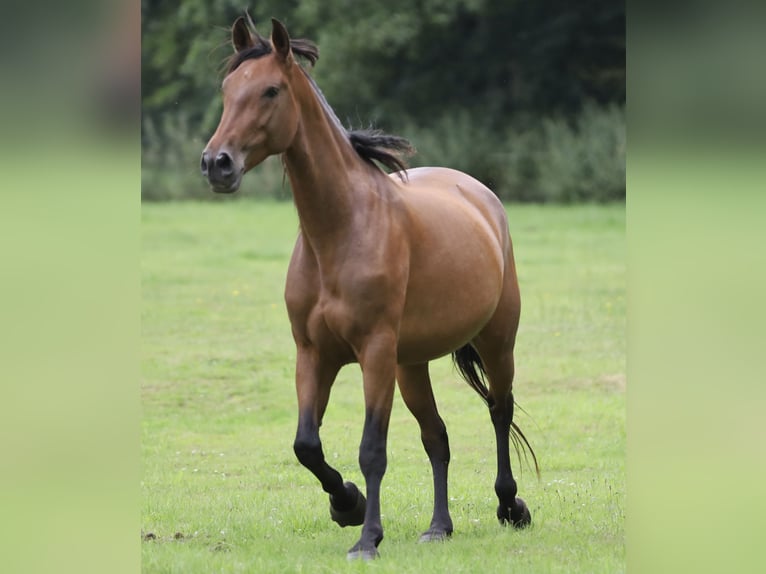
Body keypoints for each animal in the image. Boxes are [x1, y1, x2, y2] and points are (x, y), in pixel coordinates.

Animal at [201, 16, 537, 560]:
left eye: (271, 90)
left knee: (498, 411)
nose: (217, 164)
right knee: (437, 436)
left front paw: (367, 537)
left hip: (495, 341)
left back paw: (511, 506)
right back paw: (438, 526)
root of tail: (480, 193)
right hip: (411, 365)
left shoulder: (374, 353)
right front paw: (347, 505)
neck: (340, 232)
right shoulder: (314, 353)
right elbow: (306, 444)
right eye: (228, 91)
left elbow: (372, 449)